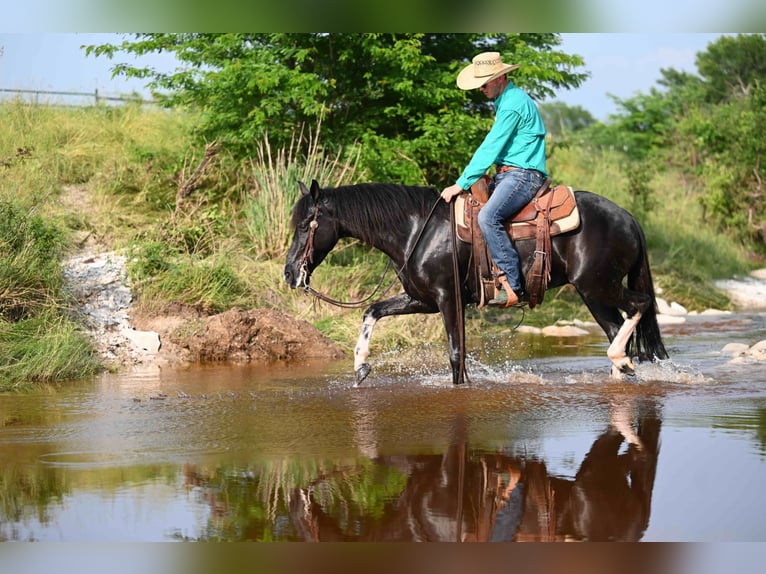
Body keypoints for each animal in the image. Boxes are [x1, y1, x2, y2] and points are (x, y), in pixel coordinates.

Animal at [284, 181, 668, 388]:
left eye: (305, 225)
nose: (289, 273)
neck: (416, 230)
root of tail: (628, 218)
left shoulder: (447, 299)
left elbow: (456, 354)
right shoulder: (420, 299)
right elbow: (372, 310)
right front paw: (360, 366)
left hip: (597, 286)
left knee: (640, 304)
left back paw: (621, 359)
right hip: (595, 294)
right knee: (617, 327)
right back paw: (622, 369)